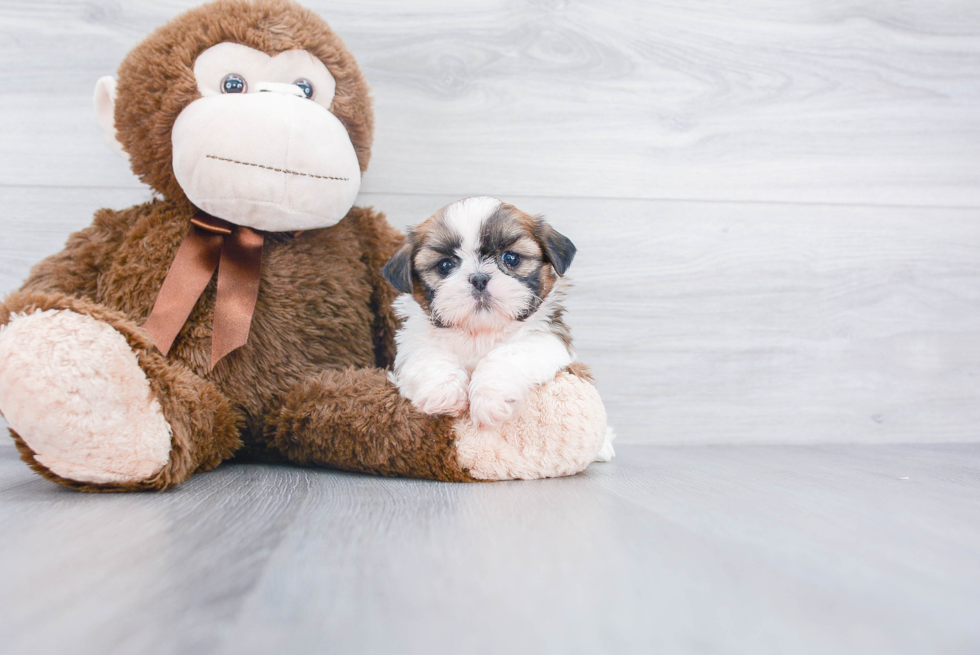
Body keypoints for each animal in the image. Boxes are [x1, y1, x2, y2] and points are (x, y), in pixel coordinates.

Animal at [380, 195, 580, 430]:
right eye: (445, 265)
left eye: (511, 258)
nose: (479, 278)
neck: (479, 333)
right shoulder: (413, 343)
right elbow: (430, 356)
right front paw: (444, 392)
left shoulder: (546, 338)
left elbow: (507, 355)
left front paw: (489, 397)